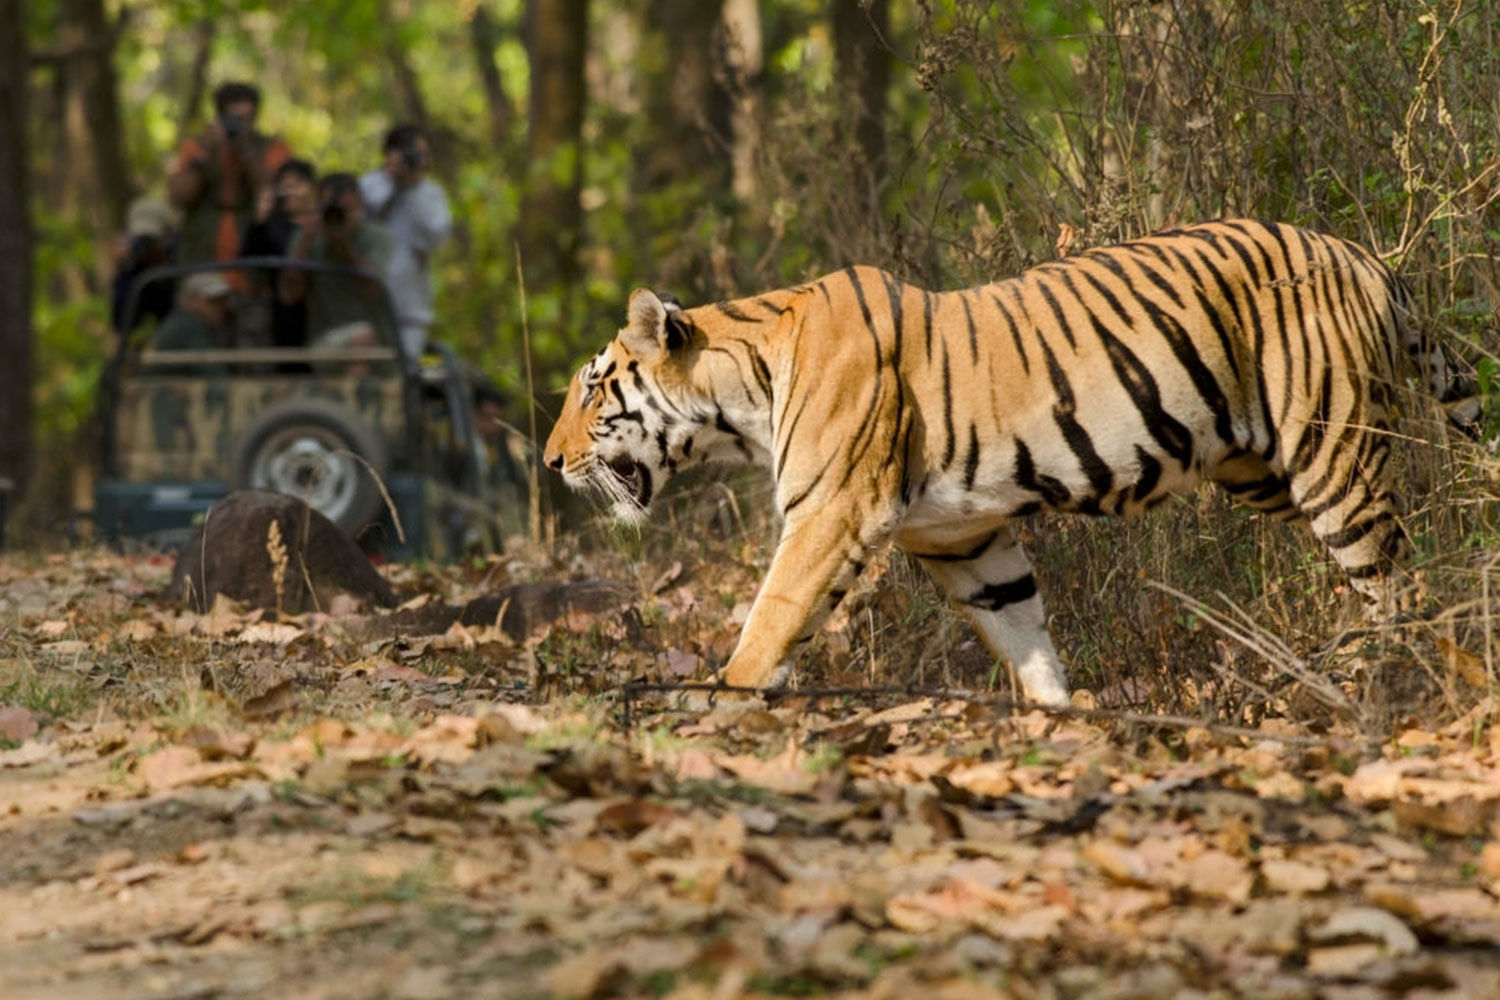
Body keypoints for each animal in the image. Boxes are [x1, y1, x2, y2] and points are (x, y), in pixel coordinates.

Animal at [543, 219, 1472, 706]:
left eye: (592, 388)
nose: (550, 463)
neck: (743, 394)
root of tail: (1366, 256)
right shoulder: (961, 536)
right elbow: (1019, 627)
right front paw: (1056, 718)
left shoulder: (829, 514)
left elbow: (771, 615)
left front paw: (723, 694)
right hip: (1259, 469)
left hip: (1332, 452)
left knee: (1400, 578)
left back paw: (1399, 677)